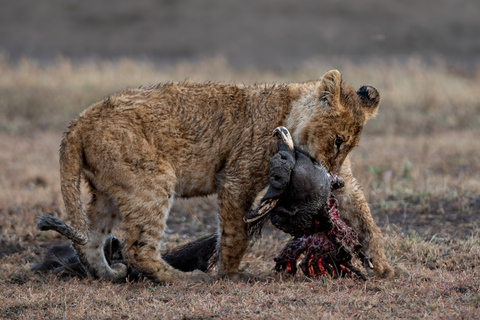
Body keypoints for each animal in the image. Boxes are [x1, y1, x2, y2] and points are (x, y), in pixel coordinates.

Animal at [54, 70, 394, 282]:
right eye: (337, 140)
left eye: (348, 147)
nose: (332, 178)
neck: (289, 109)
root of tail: (79, 122)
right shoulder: (236, 180)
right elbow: (236, 233)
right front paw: (229, 273)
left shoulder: (345, 185)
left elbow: (365, 221)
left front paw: (386, 268)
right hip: (152, 180)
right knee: (136, 248)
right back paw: (184, 279)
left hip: (110, 192)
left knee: (90, 241)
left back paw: (109, 275)